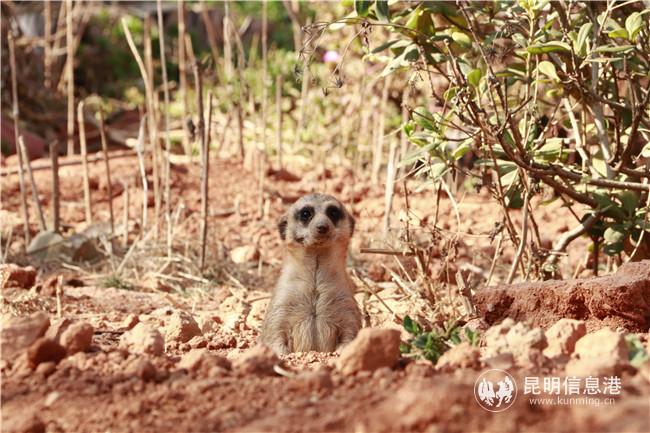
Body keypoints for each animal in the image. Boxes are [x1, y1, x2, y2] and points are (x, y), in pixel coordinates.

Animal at [260, 193, 362, 355]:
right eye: (306, 214)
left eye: (333, 212)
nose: (322, 226)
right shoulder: (282, 300)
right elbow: (274, 331)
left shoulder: (345, 301)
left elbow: (351, 329)